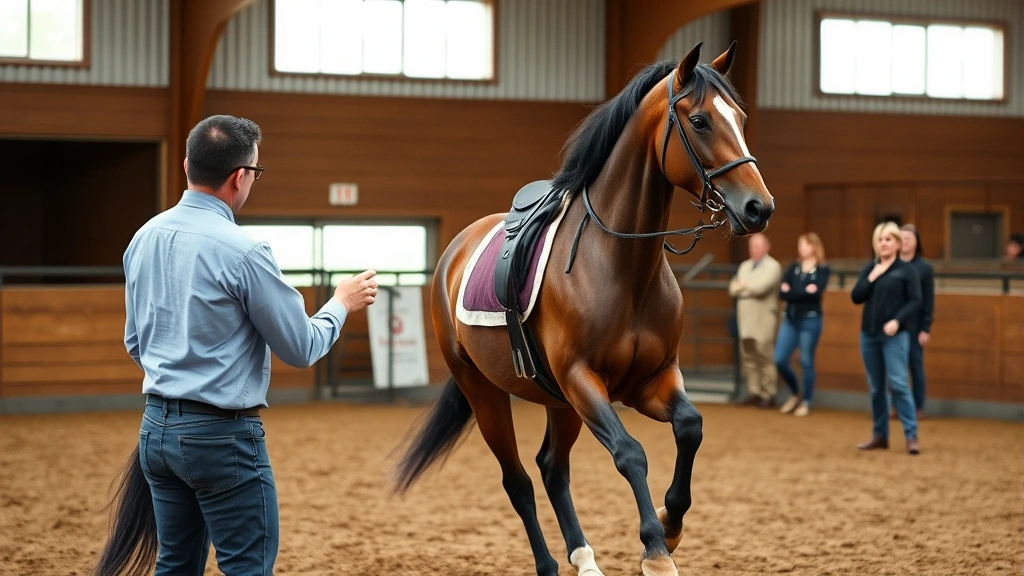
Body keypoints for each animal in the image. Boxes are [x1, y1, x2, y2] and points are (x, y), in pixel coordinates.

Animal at [392, 42, 774, 576]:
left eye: (739, 118)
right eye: (699, 121)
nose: (759, 207)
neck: (621, 265)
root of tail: (456, 251)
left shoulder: (648, 380)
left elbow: (690, 427)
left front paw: (671, 527)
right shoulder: (583, 380)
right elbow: (630, 453)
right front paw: (655, 549)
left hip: (559, 402)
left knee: (552, 468)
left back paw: (584, 556)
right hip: (486, 394)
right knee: (518, 481)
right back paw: (550, 563)